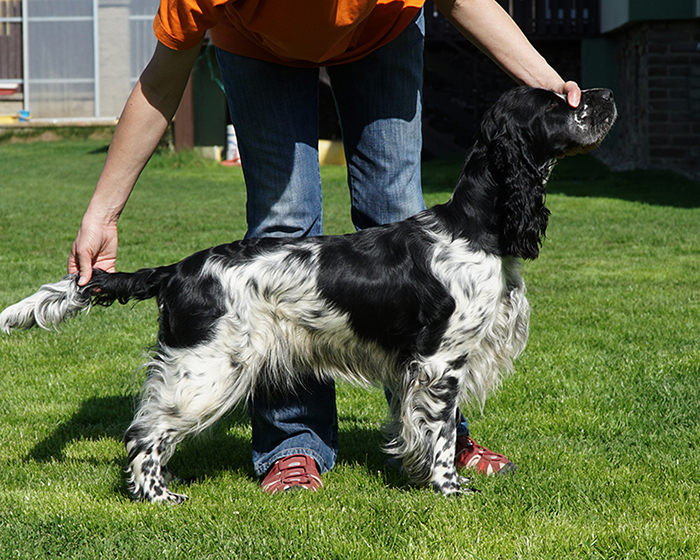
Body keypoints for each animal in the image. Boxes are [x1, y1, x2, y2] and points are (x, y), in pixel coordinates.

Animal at [0, 88, 612, 504]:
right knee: (143, 433)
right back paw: (158, 495)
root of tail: (178, 270)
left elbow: (416, 428)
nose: (603, 96)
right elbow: (438, 432)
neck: (474, 226)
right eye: (557, 102)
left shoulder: (422, 367)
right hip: (210, 368)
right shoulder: (441, 362)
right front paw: (448, 487)